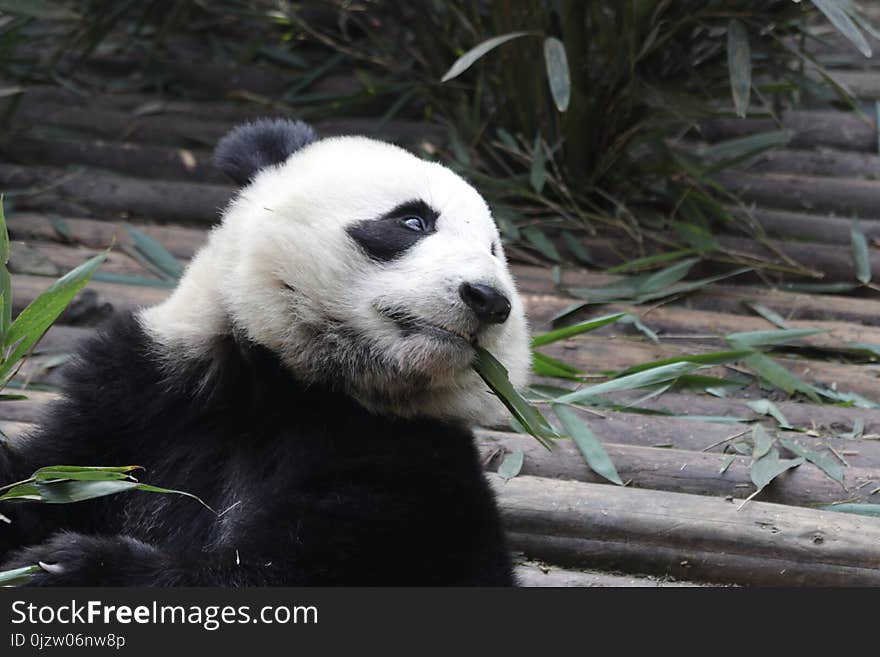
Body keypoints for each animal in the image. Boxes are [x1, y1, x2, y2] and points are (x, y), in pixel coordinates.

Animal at [0, 118, 528, 584]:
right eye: (413, 220)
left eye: (494, 250)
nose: (489, 299)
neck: (286, 380)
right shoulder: (141, 393)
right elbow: (46, 475)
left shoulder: (408, 457)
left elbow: (301, 569)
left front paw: (72, 568)